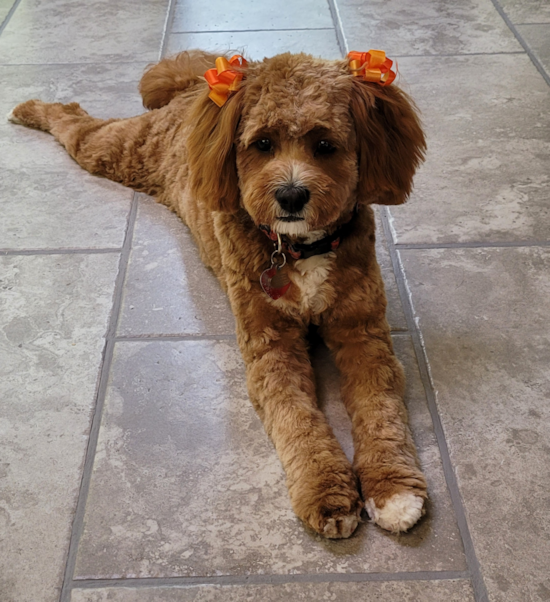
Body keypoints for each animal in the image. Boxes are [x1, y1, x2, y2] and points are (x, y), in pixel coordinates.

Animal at [9, 50, 432, 540]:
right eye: (262, 143)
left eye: (326, 145)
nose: (291, 195)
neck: (298, 248)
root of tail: (198, 85)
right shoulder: (271, 349)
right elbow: (298, 420)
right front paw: (326, 490)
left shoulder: (364, 335)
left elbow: (382, 412)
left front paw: (393, 489)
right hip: (113, 149)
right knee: (73, 121)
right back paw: (30, 108)